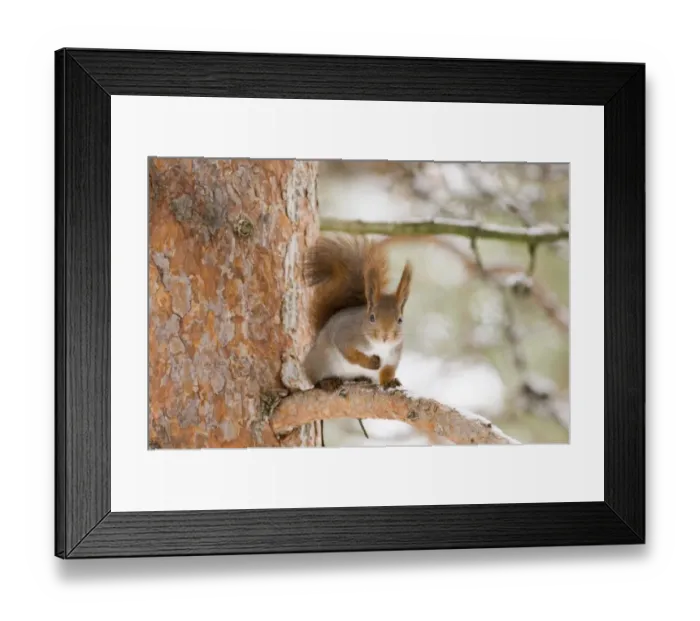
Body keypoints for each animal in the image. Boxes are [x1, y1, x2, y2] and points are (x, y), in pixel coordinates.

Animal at [302, 232, 412, 396]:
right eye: (372, 317)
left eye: (400, 320)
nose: (385, 336)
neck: (379, 346)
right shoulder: (345, 334)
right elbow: (351, 353)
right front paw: (370, 362)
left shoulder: (394, 354)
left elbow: (388, 370)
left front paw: (389, 382)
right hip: (319, 362)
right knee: (314, 379)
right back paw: (327, 382)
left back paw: (361, 378)